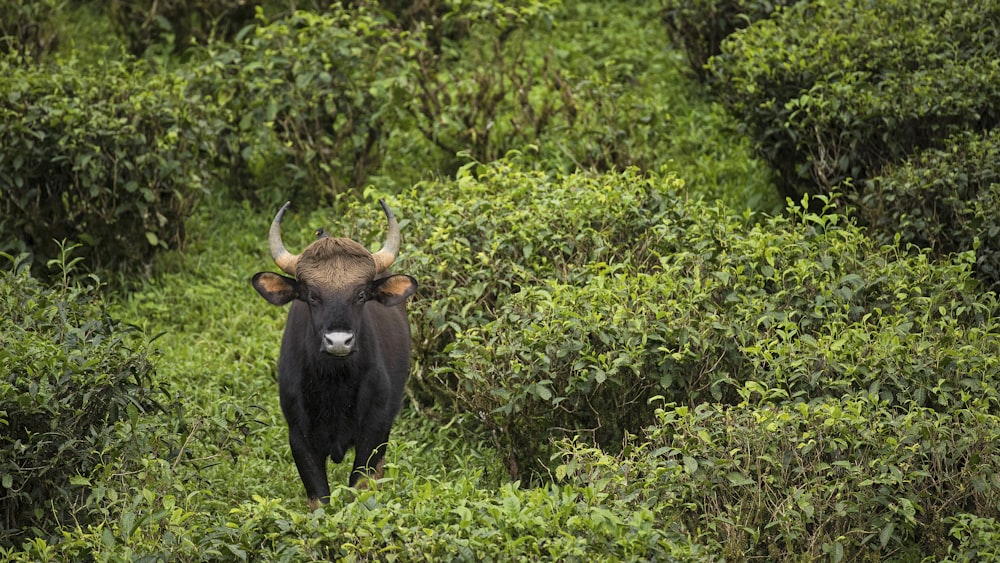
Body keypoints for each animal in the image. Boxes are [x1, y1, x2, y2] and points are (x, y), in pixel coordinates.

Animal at [256, 200, 420, 508]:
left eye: (361, 294)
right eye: (312, 295)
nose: (339, 342)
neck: (335, 385)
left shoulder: (375, 429)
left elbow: (361, 488)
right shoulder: (299, 435)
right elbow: (319, 498)